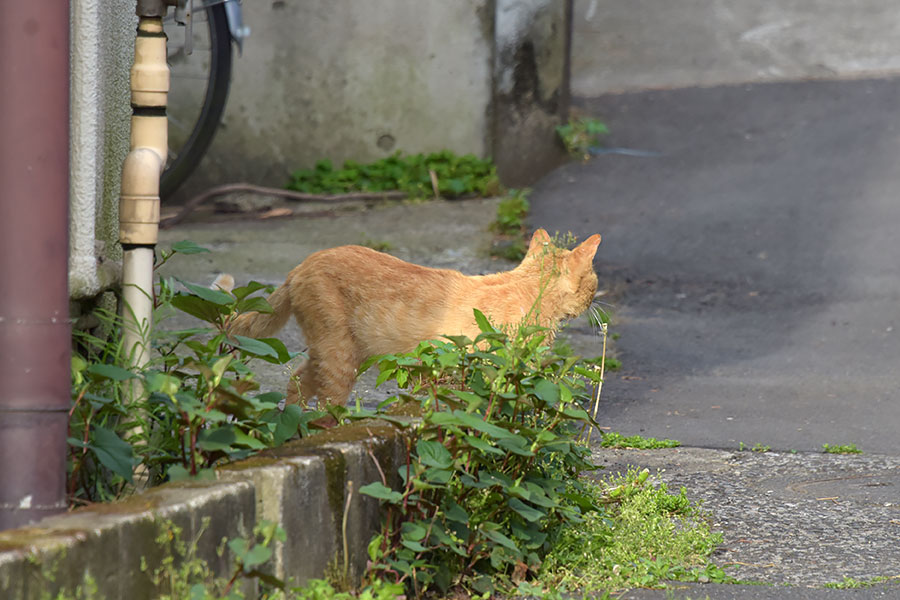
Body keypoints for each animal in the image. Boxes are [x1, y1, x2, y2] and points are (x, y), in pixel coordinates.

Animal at [221, 230, 600, 408]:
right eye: (594, 282)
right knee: (328, 404)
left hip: (339, 351)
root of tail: (300, 265)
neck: (524, 289)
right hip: (339, 356)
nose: (595, 300)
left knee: (298, 382)